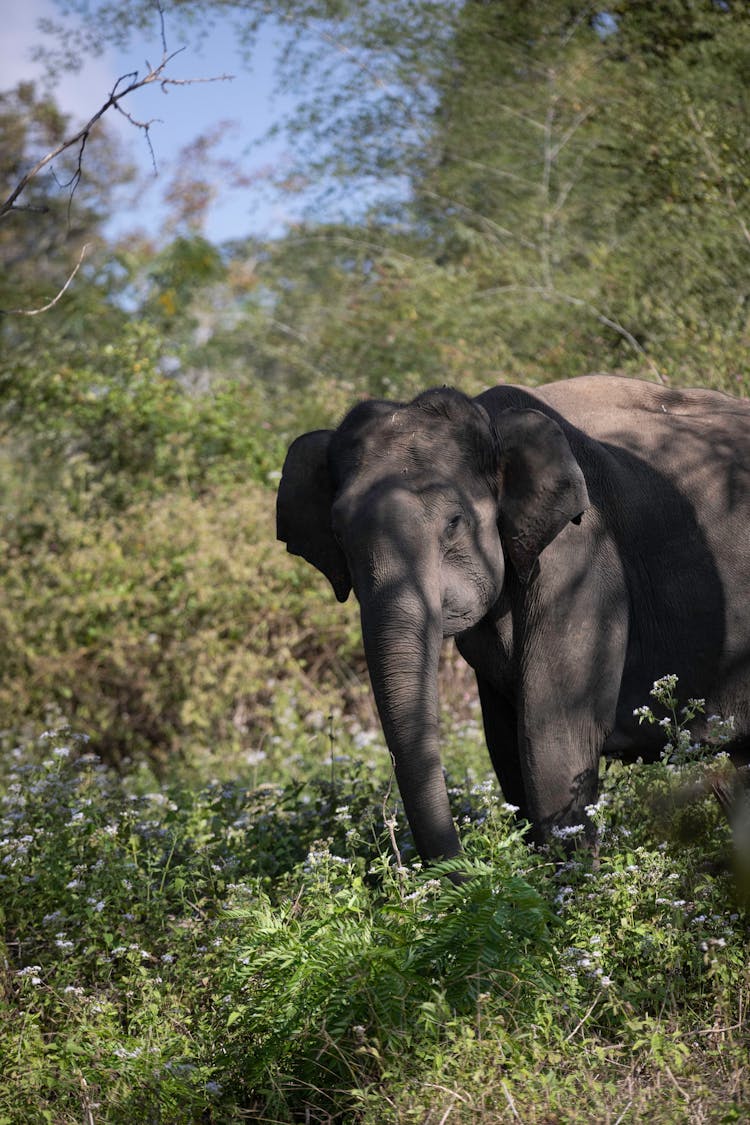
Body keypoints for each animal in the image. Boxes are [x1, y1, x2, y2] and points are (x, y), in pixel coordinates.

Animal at [278, 378, 750, 859]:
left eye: (453, 523)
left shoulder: (581, 558)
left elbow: (553, 739)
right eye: (339, 537)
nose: (456, 867)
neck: (490, 421)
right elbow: (504, 744)